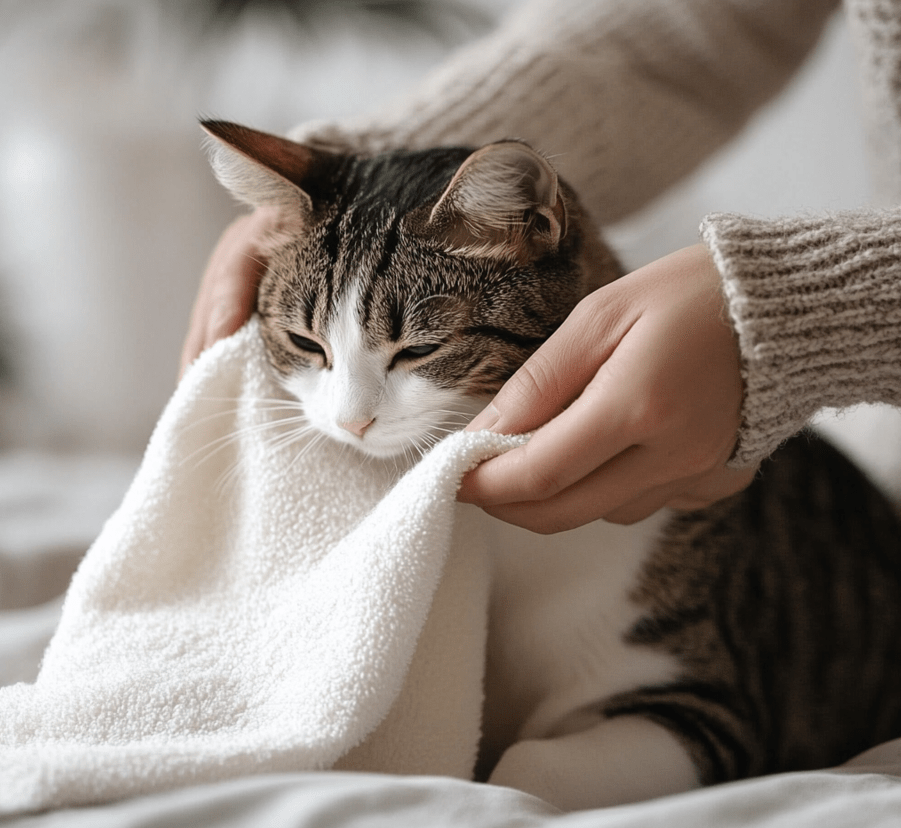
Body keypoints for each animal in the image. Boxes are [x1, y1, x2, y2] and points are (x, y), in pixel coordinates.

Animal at [200, 119, 900, 812]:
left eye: (420, 349)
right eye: (305, 342)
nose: (350, 423)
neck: (512, 549)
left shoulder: (708, 702)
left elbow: (527, 767)